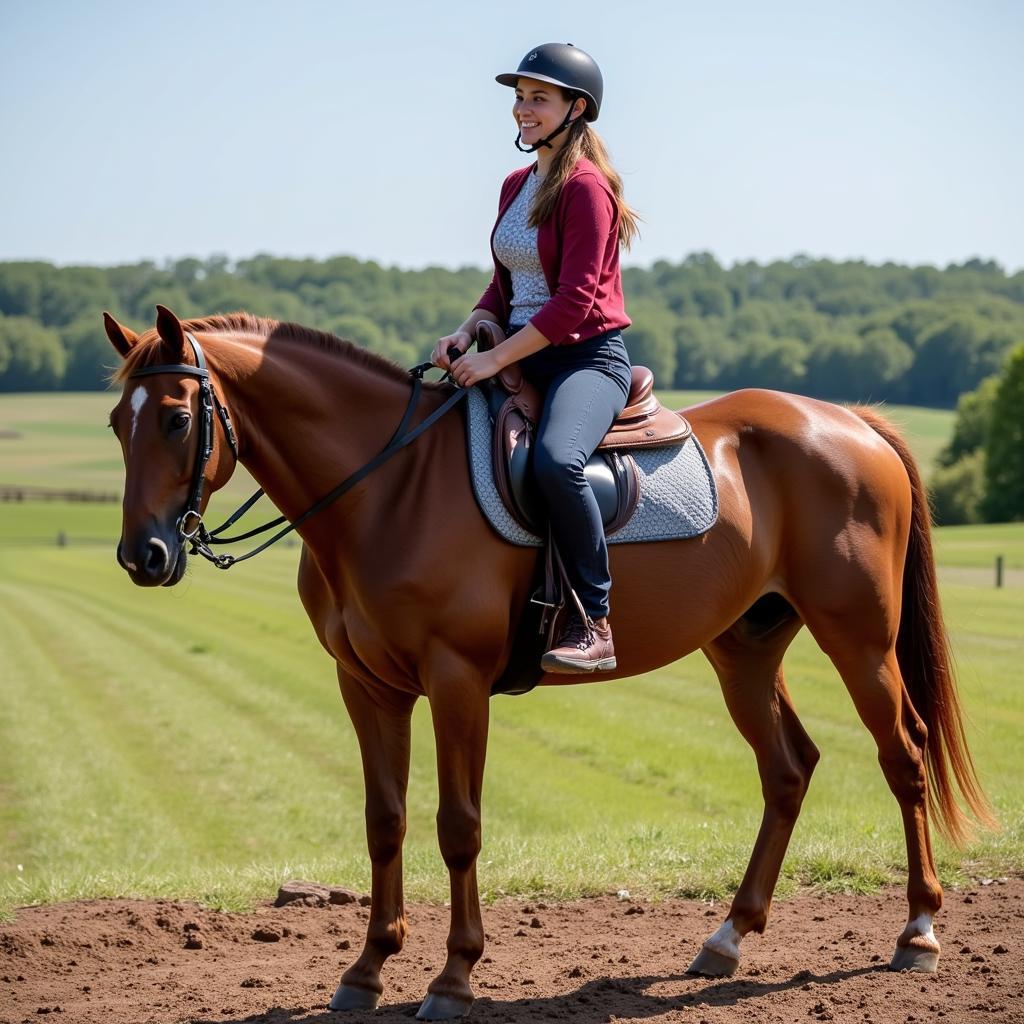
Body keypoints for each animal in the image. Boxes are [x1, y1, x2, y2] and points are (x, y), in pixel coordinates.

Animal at [103, 307, 991, 1019]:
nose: (143, 556)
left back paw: (917, 931)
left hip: (859, 641)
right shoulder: (368, 687)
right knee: (789, 769)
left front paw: (454, 978)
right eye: (117, 422)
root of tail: (852, 421)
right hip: (744, 648)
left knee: (903, 756)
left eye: (177, 419)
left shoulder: (457, 682)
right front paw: (366, 971)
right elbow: (384, 821)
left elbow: (457, 826)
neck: (388, 491)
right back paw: (727, 938)